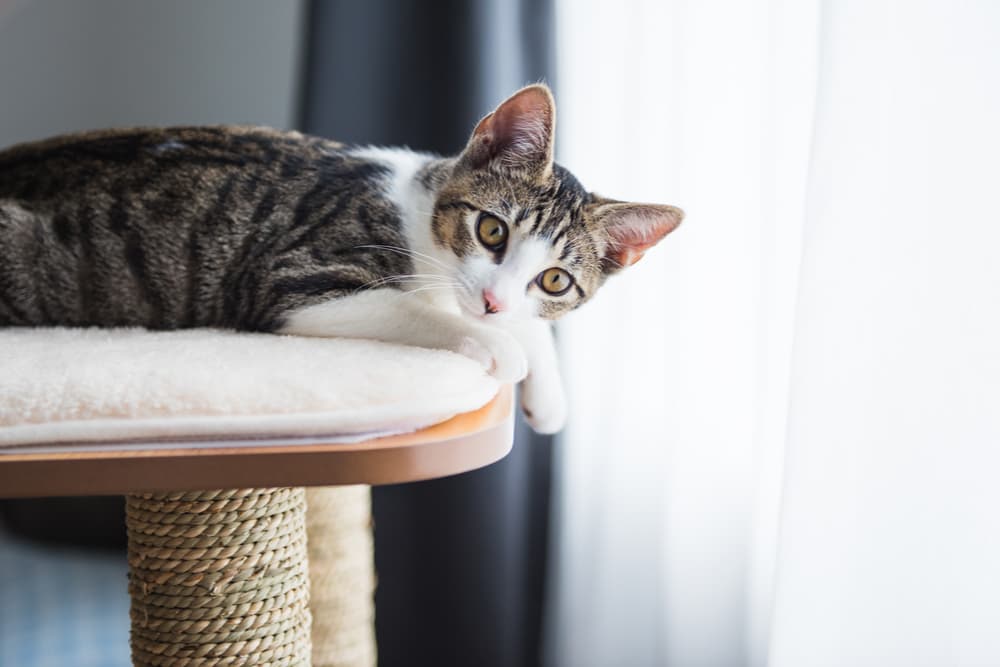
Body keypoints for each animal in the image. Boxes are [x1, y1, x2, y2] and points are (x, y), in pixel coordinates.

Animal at [0, 83, 680, 436]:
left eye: (555, 280)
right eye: (491, 230)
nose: (491, 300)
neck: (417, 215)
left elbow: (524, 324)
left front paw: (547, 393)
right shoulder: (293, 280)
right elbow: (421, 311)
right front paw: (502, 348)